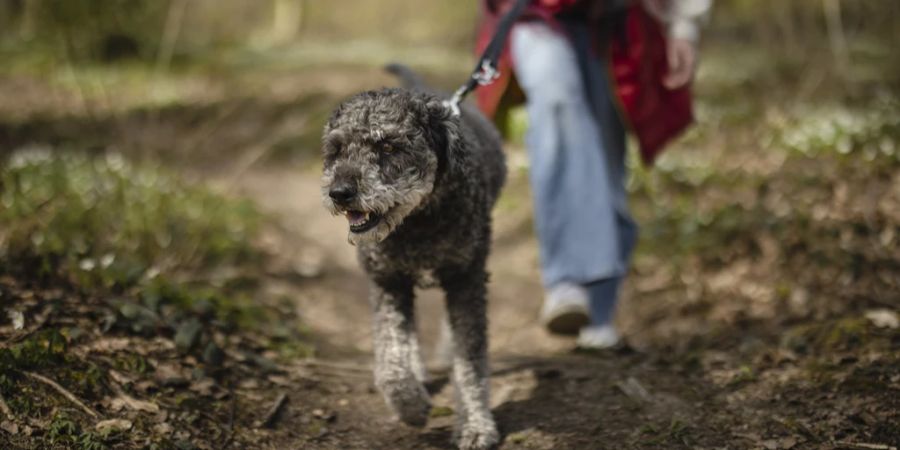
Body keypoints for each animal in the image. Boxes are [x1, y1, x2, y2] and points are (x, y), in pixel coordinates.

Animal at [322, 64, 506, 450]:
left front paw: (475, 425)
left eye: (389, 145)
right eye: (337, 148)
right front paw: (410, 404)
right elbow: (391, 358)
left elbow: (471, 361)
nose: (340, 193)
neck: (418, 221)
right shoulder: (387, 282)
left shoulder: (466, 278)